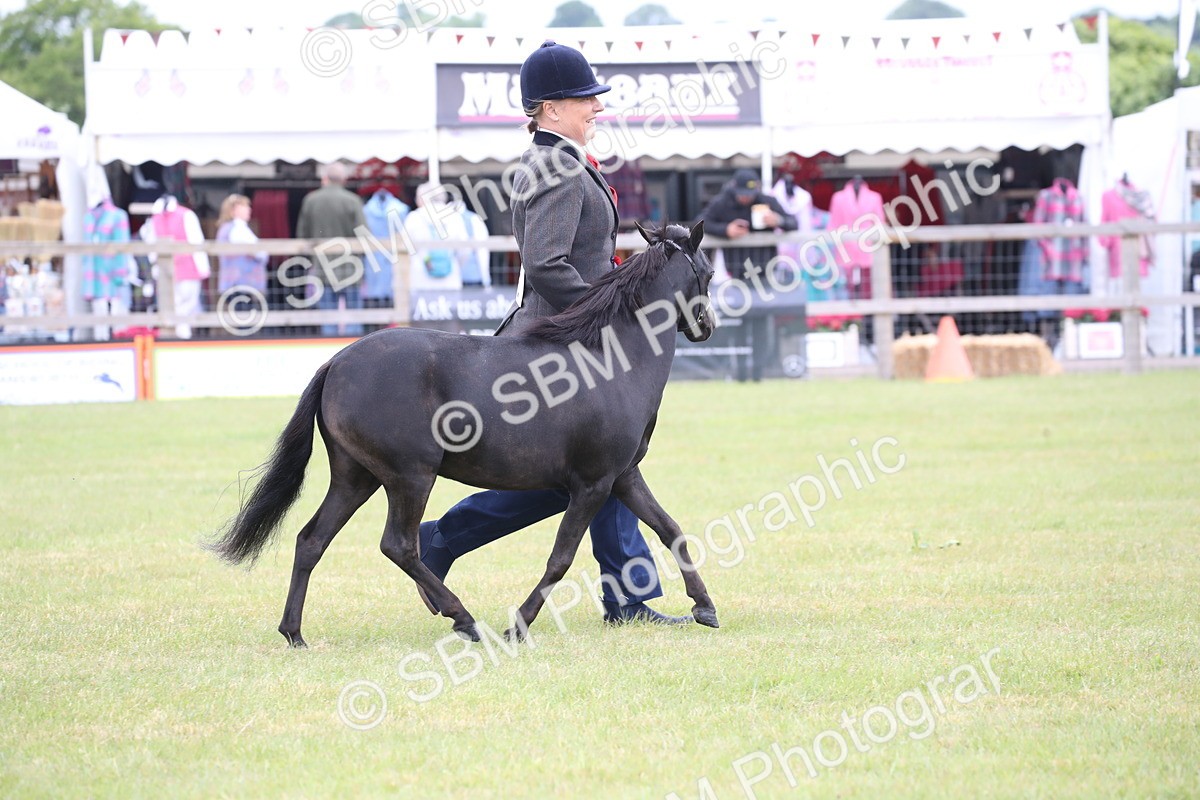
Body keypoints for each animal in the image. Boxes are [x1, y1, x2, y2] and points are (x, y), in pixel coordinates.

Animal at [208, 221, 720, 646]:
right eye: (711, 273)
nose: (707, 327)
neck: (610, 360)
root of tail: (337, 361)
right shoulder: (592, 483)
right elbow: (561, 556)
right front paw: (519, 625)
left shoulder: (623, 476)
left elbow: (671, 529)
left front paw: (704, 607)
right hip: (410, 476)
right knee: (398, 545)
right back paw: (464, 618)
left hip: (356, 477)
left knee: (312, 540)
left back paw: (295, 632)